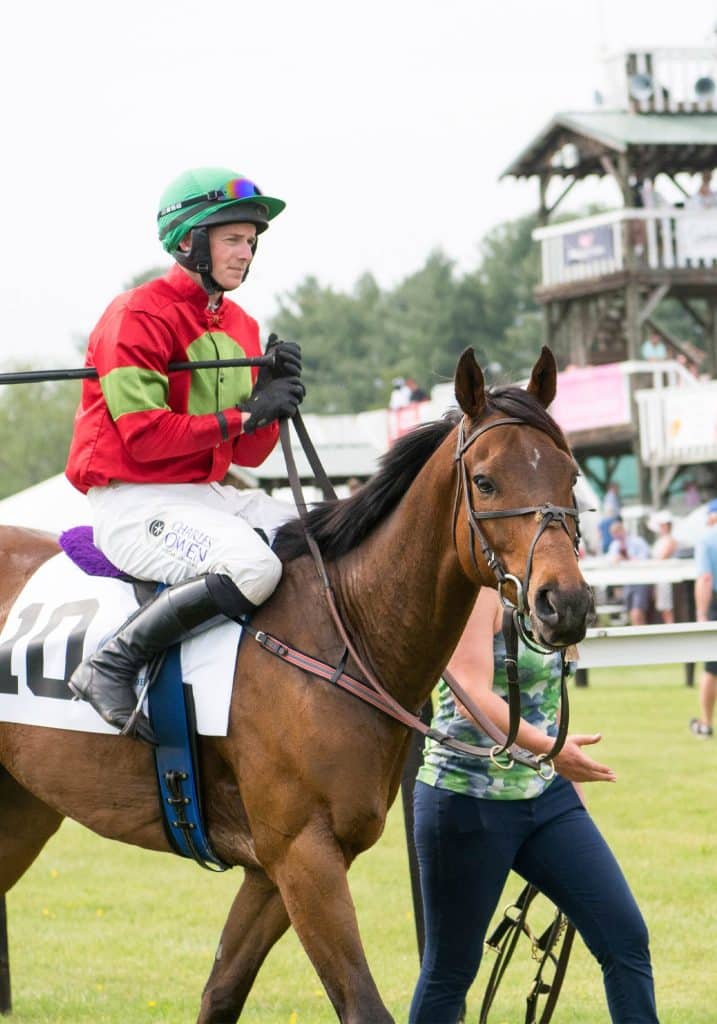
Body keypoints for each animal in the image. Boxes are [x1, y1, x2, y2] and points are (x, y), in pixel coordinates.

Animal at [0, 348, 589, 1019]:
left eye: (571, 475)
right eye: (486, 481)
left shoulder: (274, 870)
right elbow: (362, 1004)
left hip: (21, 811)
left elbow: (222, 992)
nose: (564, 603)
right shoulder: (303, 854)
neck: (345, 630)